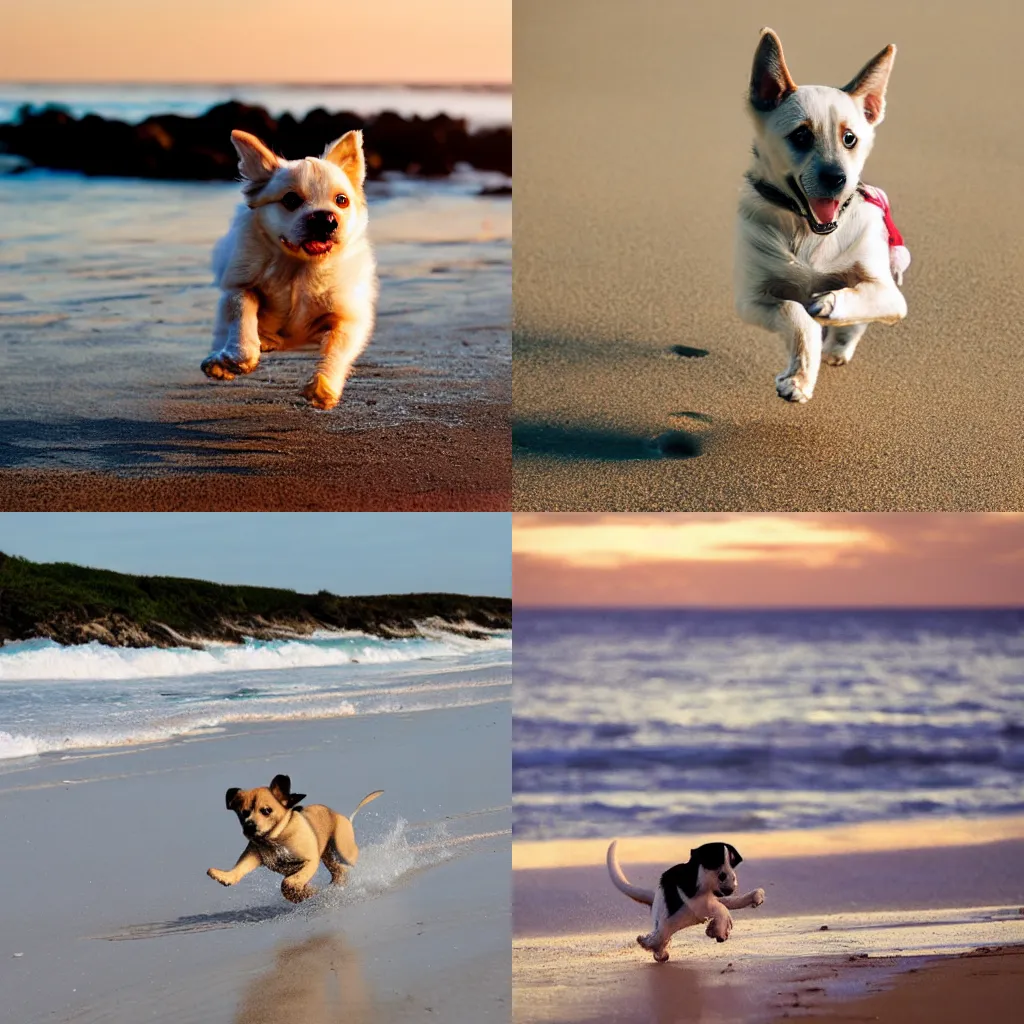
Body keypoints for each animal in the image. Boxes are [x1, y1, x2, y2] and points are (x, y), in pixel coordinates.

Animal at [201, 130, 378, 409]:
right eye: (291, 200)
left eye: (342, 201)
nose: (325, 218)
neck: (300, 268)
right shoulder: (241, 287)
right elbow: (242, 318)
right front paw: (238, 358)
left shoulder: (349, 317)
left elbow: (337, 350)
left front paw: (324, 387)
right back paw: (220, 362)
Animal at [207, 774, 385, 905]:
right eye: (243, 813)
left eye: (266, 810)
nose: (249, 826)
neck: (274, 839)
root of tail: (344, 817)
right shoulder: (254, 855)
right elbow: (240, 868)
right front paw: (225, 877)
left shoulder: (309, 861)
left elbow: (289, 883)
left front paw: (301, 892)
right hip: (328, 855)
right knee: (339, 871)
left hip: (344, 849)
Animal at [606, 839, 761, 958]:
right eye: (715, 861)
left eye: (732, 861)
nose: (731, 884)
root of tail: (655, 897)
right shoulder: (696, 900)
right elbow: (721, 908)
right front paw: (722, 928)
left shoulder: (710, 901)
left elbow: (725, 904)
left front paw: (756, 896)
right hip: (664, 920)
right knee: (660, 934)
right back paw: (652, 946)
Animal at [733, 28, 909, 403]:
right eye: (800, 135)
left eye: (850, 139)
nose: (837, 178)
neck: (808, 231)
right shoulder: (751, 300)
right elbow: (796, 313)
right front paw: (798, 378)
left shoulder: (889, 294)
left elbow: (857, 299)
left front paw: (829, 305)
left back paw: (838, 346)